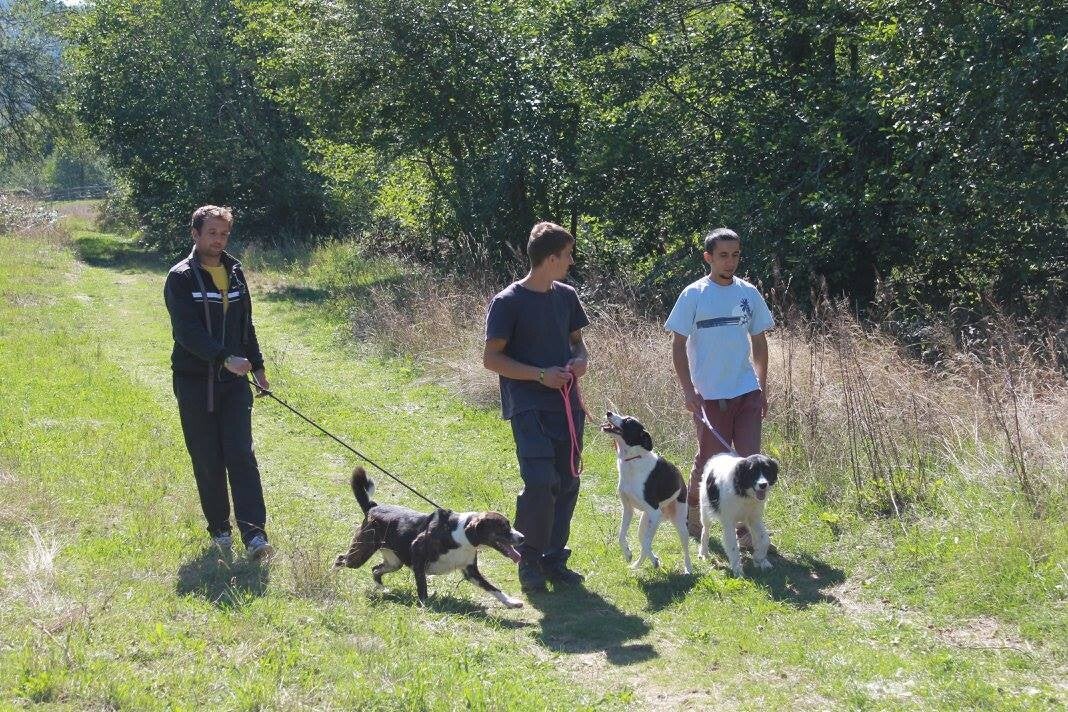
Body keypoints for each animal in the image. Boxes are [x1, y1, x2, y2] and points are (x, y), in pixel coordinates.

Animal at [334, 467, 525, 608]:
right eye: (503, 528)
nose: (522, 537)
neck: (460, 535)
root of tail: (372, 507)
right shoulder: (418, 555)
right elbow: (422, 586)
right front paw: (425, 605)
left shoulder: (471, 571)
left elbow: (493, 588)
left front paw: (511, 602)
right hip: (360, 554)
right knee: (341, 559)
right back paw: (332, 576)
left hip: (395, 562)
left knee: (375, 569)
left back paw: (383, 589)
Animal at [601, 411, 692, 574]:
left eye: (628, 421)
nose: (609, 412)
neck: (632, 460)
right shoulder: (628, 509)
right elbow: (621, 536)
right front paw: (629, 554)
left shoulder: (654, 513)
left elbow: (645, 544)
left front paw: (648, 560)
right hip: (646, 520)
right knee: (642, 538)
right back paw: (642, 564)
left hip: (679, 523)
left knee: (685, 548)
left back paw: (688, 569)